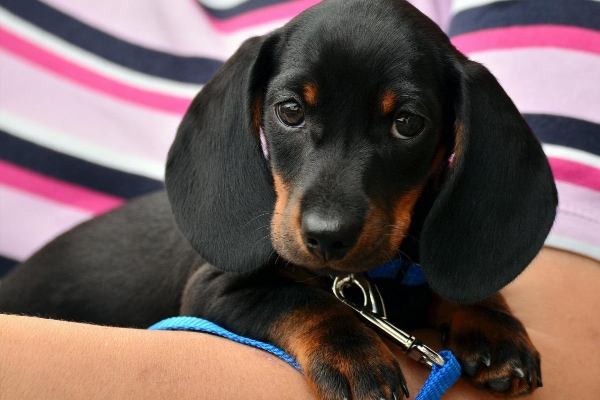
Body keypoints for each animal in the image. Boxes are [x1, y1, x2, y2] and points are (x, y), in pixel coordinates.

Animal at [0, 0, 556, 398]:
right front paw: (355, 355)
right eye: (289, 111)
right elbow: (302, 299)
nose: (327, 238)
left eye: (408, 123)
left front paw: (491, 322)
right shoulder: (213, 291)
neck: (365, 282)